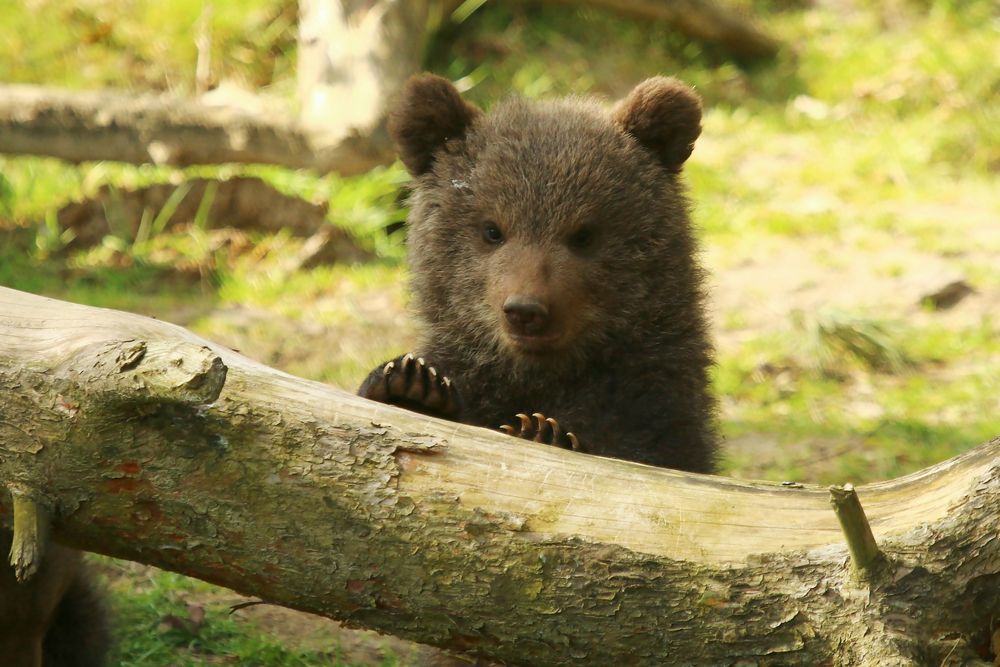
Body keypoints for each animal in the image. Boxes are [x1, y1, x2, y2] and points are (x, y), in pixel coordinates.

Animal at [360, 74, 720, 474]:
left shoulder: (652, 399)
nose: (525, 310)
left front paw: (541, 430)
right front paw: (409, 384)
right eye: (492, 230)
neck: (541, 373)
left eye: (583, 234)